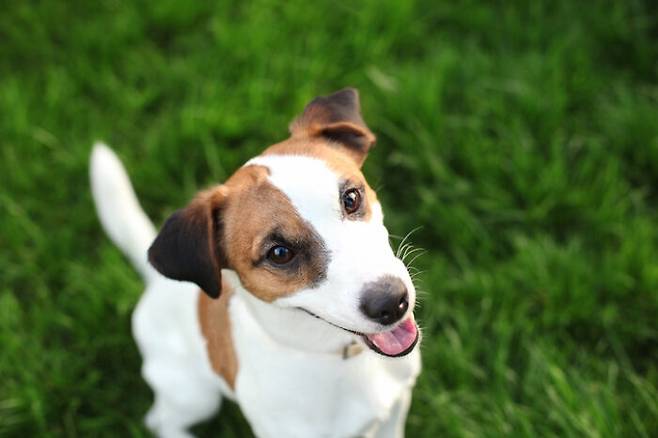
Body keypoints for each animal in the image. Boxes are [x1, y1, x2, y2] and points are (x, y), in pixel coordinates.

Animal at [89, 89, 420, 438]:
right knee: (161, 420)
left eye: (352, 198)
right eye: (279, 253)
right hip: (194, 395)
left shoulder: (397, 408)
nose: (392, 303)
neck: (337, 354)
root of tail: (155, 282)